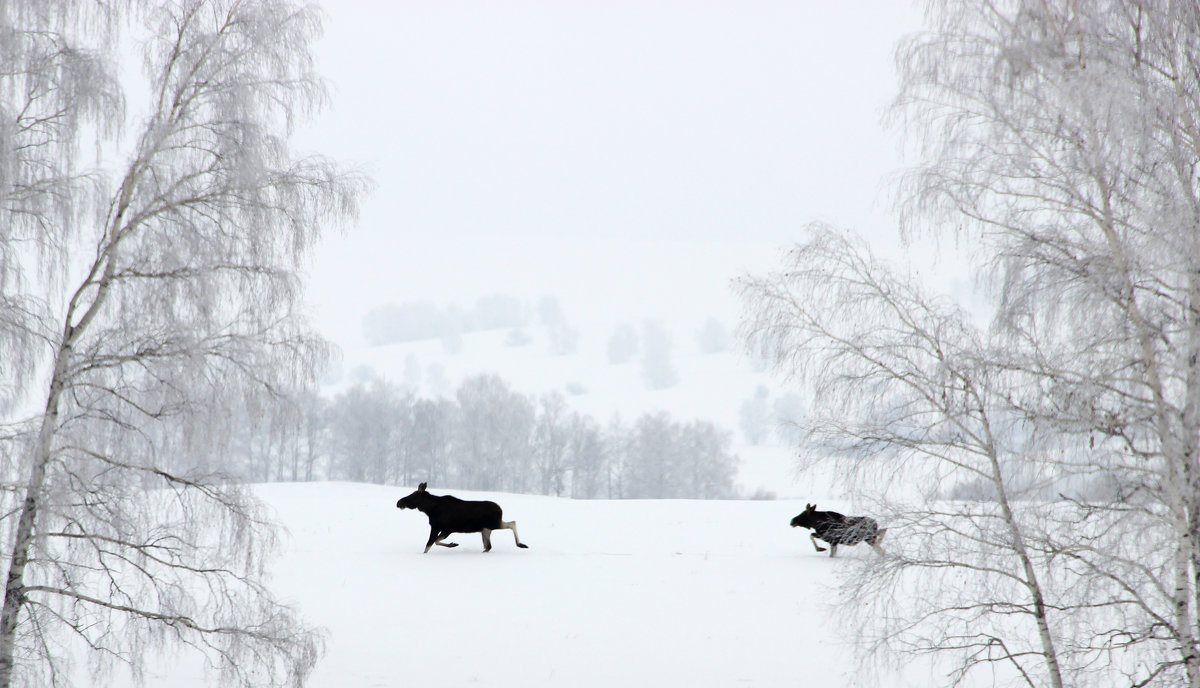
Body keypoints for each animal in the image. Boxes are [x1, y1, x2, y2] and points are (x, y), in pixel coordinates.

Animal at [396, 482, 528, 552]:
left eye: (414, 495)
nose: (399, 502)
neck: (429, 510)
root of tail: (500, 509)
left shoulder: (439, 527)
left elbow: (429, 545)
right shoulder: (446, 529)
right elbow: (436, 542)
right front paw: (453, 544)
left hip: (493, 524)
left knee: (512, 523)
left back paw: (520, 544)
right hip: (486, 528)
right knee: (489, 546)